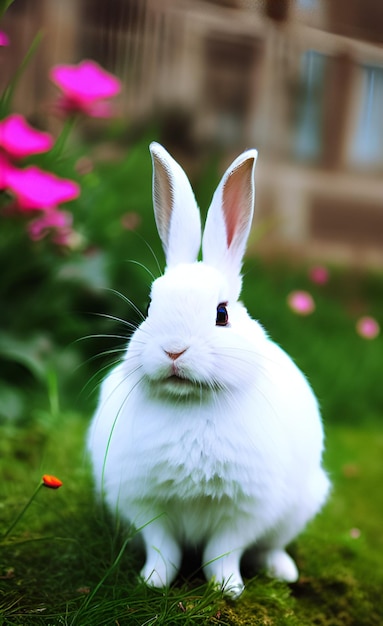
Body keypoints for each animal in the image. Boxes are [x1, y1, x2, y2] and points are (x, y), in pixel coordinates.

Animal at [87, 141, 330, 596]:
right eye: (150, 304)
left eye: (222, 314)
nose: (173, 350)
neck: (190, 403)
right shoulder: (145, 502)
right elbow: (163, 548)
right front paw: (152, 583)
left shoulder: (245, 509)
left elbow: (224, 551)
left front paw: (227, 588)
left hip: (299, 507)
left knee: (270, 546)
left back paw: (283, 570)